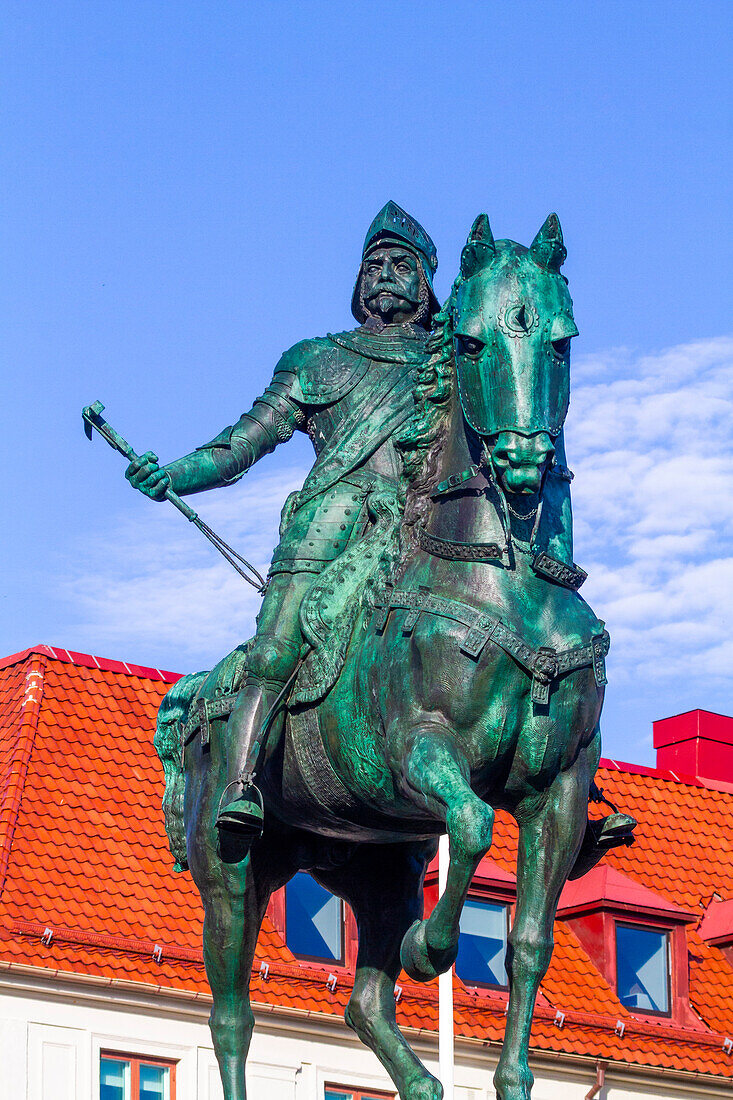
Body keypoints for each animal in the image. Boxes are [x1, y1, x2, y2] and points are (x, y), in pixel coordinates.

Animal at [158, 212, 603, 1100]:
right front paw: (434, 949)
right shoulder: (418, 752)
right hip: (231, 871)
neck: (507, 587)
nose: (522, 462)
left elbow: (529, 944)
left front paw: (510, 1078)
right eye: (468, 342)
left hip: (376, 863)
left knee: (363, 1002)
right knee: (231, 1016)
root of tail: (194, 696)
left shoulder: (559, 792)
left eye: (560, 343)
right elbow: (471, 821)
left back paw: (425, 1080)